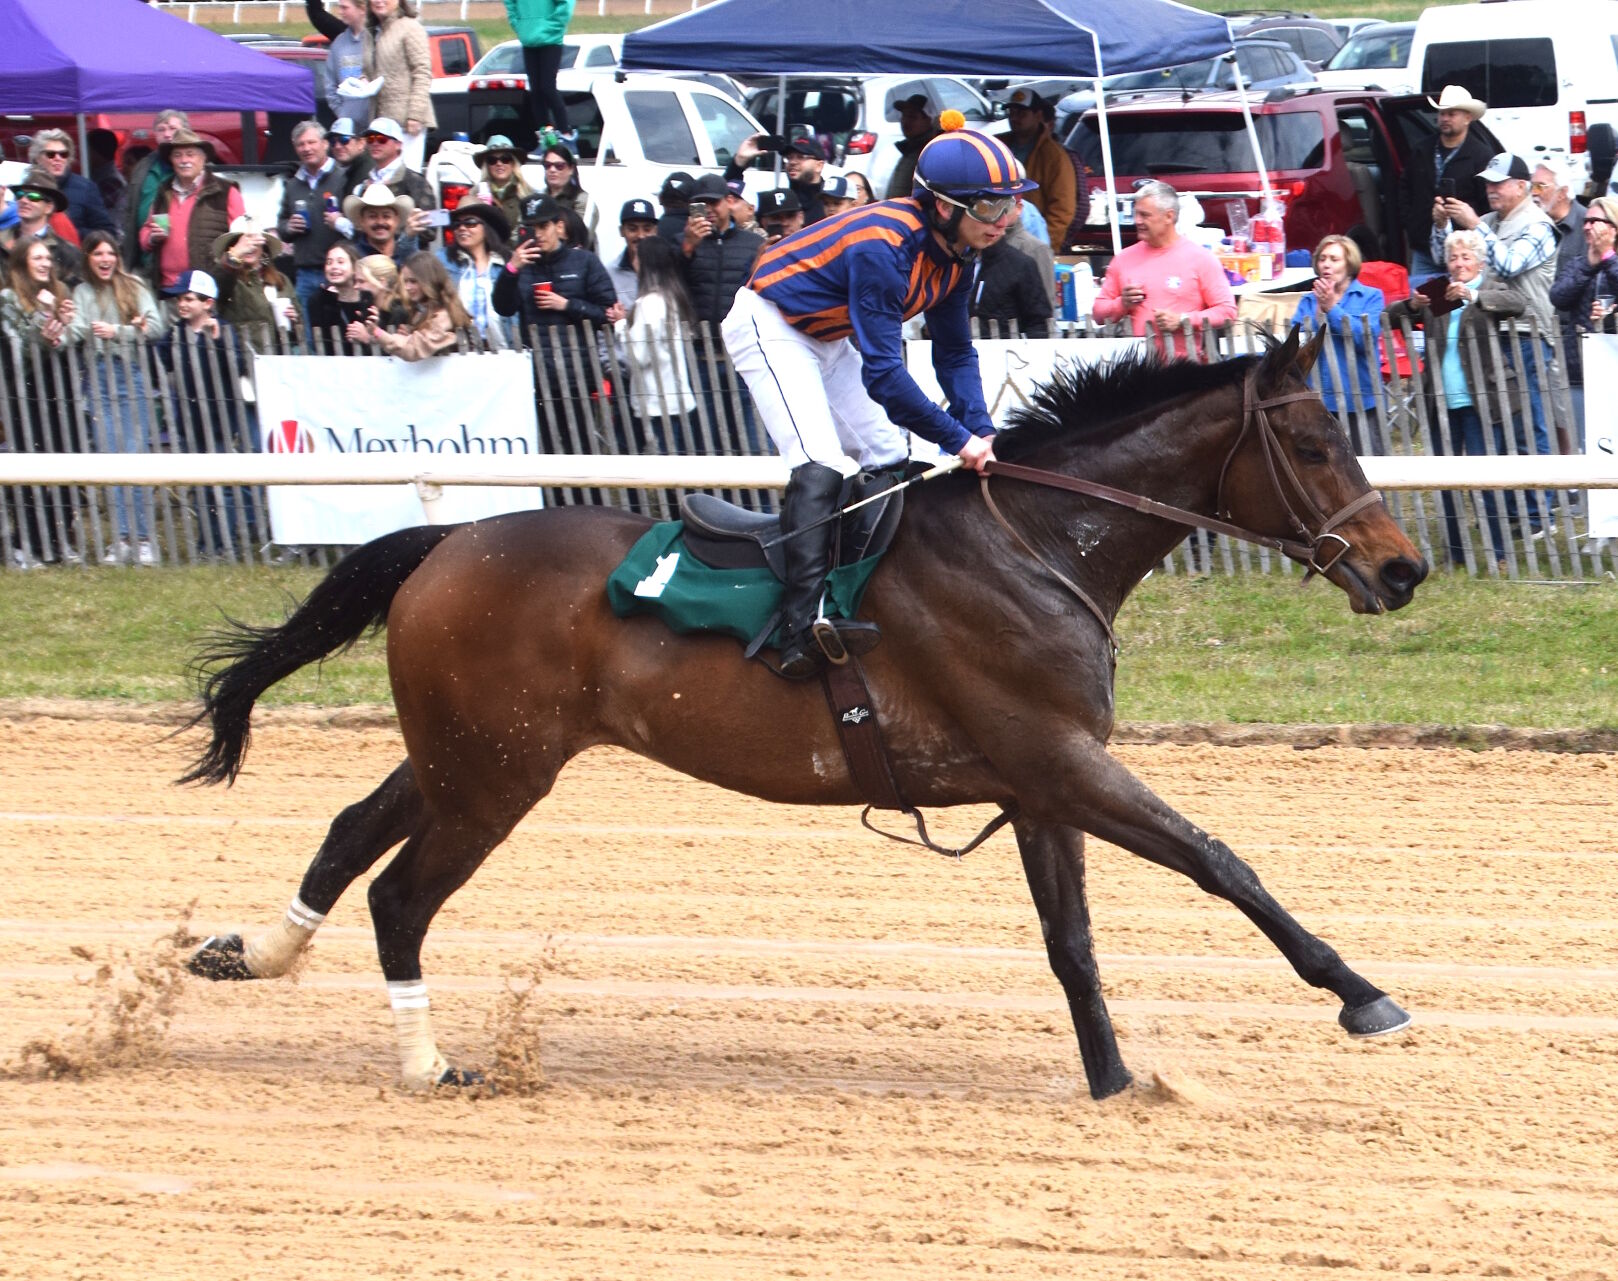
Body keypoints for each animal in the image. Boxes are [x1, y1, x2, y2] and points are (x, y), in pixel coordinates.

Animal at [183, 333, 1430, 1099]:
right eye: (1313, 444)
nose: (1403, 568)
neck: (1032, 546)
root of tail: (447, 538)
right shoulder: (1061, 760)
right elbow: (1220, 863)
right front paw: (1361, 996)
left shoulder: (1039, 783)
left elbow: (1070, 941)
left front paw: (1115, 1080)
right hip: (494, 775)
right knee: (401, 894)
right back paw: (428, 1064)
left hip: (463, 754)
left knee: (350, 830)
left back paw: (253, 953)